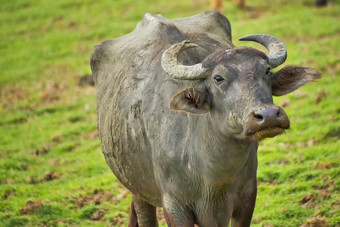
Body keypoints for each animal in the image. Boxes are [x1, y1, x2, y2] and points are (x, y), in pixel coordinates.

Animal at [89, 11, 318, 227]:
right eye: (218, 78)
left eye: (267, 71)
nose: (269, 115)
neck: (212, 178)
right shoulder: (174, 206)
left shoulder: (247, 198)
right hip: (136, 188)